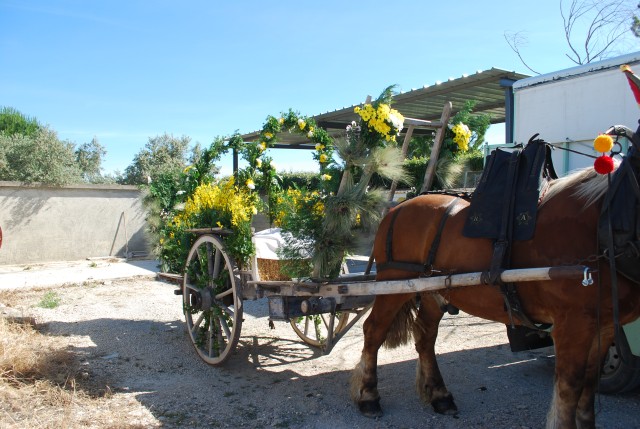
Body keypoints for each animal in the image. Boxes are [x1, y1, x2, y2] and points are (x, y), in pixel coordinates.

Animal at [351, 139, 640, 428]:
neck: (603, 221)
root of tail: (398, 208)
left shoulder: (604, 326)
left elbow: (589, 386)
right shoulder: (572, 326)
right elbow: (570, 389)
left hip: (432, 289)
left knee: (424, 335)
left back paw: (440, 395)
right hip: (394, 282)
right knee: (373, 331)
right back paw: (368, 397)